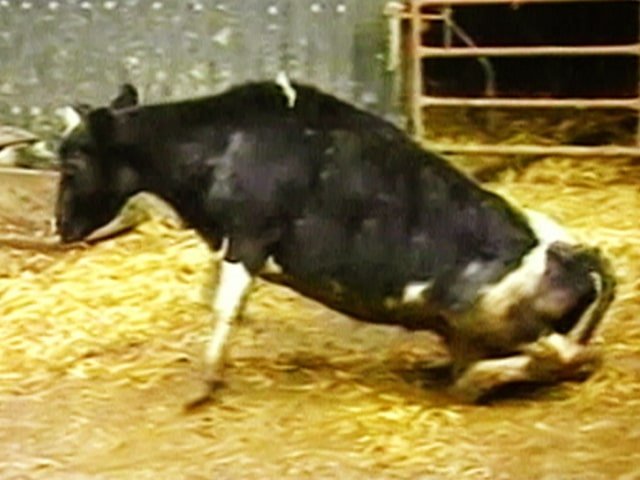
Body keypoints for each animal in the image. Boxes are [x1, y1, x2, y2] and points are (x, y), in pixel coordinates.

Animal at [55, 78, 615, 405]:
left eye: (73, 162)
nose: (60, 227)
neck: (220, 143)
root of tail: (574, 257)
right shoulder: (229, 243)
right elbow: (213, 298)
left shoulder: (250, 238)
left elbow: (223, 307)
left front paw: (204, 385)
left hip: (485, 314)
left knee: (571, 357)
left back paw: (472, 383)